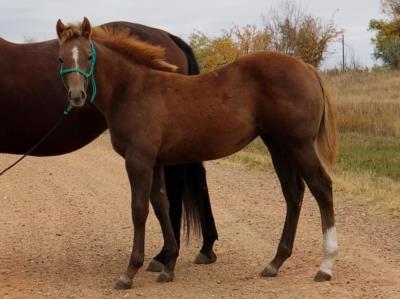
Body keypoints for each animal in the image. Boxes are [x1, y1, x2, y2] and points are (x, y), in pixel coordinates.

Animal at [0, 21, 219, 272]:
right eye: (60, 59)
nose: (76, 95)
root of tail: (169, 37)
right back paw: (203, 248)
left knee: (175, 189)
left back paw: (165, 256)